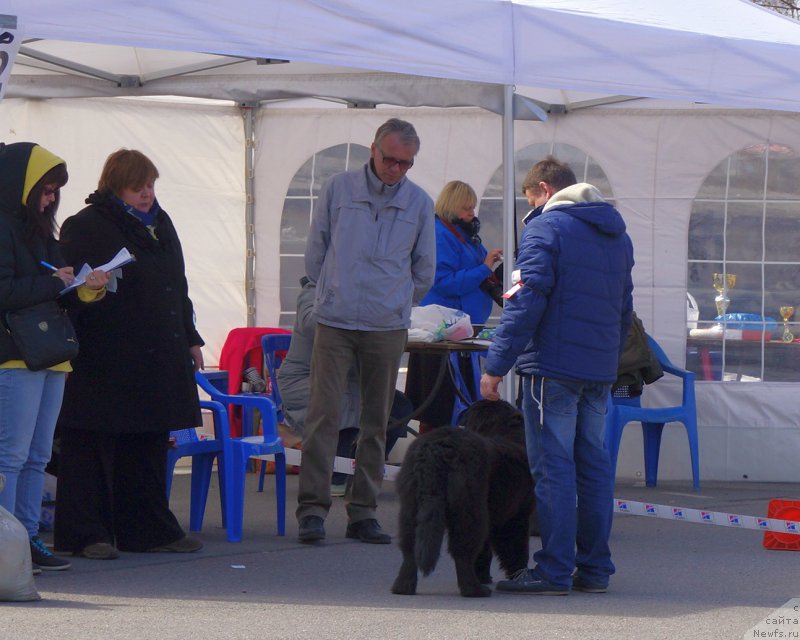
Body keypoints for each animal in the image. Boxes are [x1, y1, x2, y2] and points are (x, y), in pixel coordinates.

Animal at [390, 398, 536, 596]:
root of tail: (434, 452)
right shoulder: (516, 516)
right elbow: (516, 547)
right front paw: (519, 574)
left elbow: (486, 552)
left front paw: (485, 575)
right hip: (468, 510)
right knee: (463, 552)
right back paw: (474, 589)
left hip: (411, 507)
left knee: (409, 550)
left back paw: (403, 587)